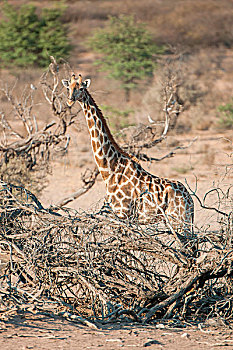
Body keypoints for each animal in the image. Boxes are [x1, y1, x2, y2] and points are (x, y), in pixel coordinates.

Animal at [62, 74, 195, 254]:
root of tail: (190, 199)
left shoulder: (124, 214)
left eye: (81, 88)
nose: (70, 100)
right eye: (68, 87)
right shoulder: (119, 215)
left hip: (179, 220)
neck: (110, 169)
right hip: (183, 221)